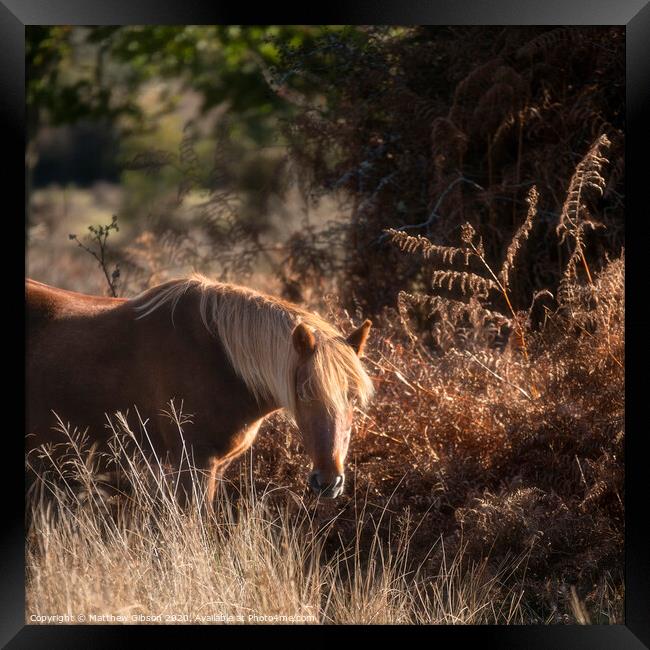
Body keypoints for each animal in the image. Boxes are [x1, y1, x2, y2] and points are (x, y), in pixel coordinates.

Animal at [25, 274, 372, 502]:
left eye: (354, 398)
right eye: (303, 393)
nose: (328, 482)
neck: (218, 358)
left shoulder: (215, 466)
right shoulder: (193, 464)